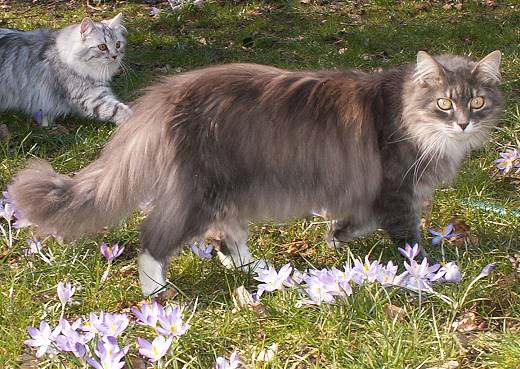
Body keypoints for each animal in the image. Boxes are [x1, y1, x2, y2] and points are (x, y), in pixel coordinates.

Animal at [8, 49, 504, 296]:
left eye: (477, 101)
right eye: (445, 103)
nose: (464, 123)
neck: (407, 113)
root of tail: (167, 94)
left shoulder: (373, 195)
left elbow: (352, 223)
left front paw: (336, 237)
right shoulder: (397, 191)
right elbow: (409, 240)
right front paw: (424, 272)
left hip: (231, 187)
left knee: (229, 237)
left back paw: (260, 270)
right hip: (200, 193)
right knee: (154, 241)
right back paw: (155, 294)